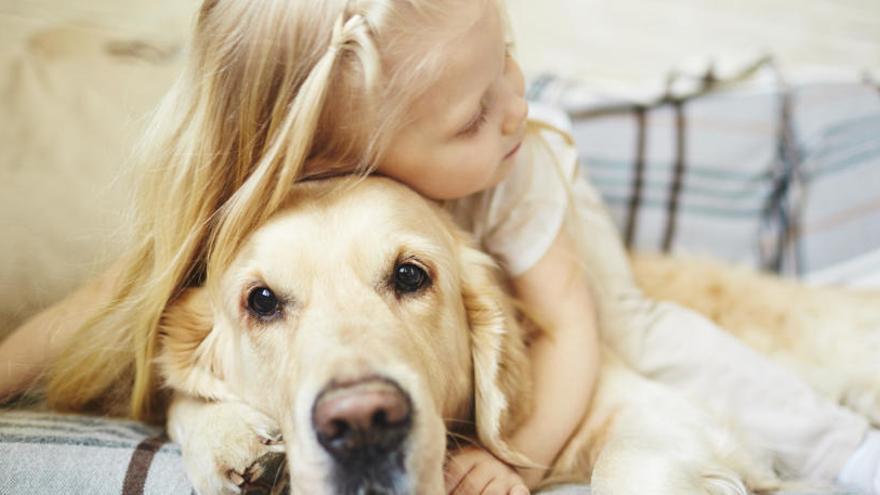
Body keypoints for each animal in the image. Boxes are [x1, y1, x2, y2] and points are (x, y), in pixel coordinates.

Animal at [155, 177, 836, 495]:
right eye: (261, 301)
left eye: (410, 275)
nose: (363, 423)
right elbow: (178, 404)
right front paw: (231, 438)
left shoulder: (652, 404)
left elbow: (624, 465)